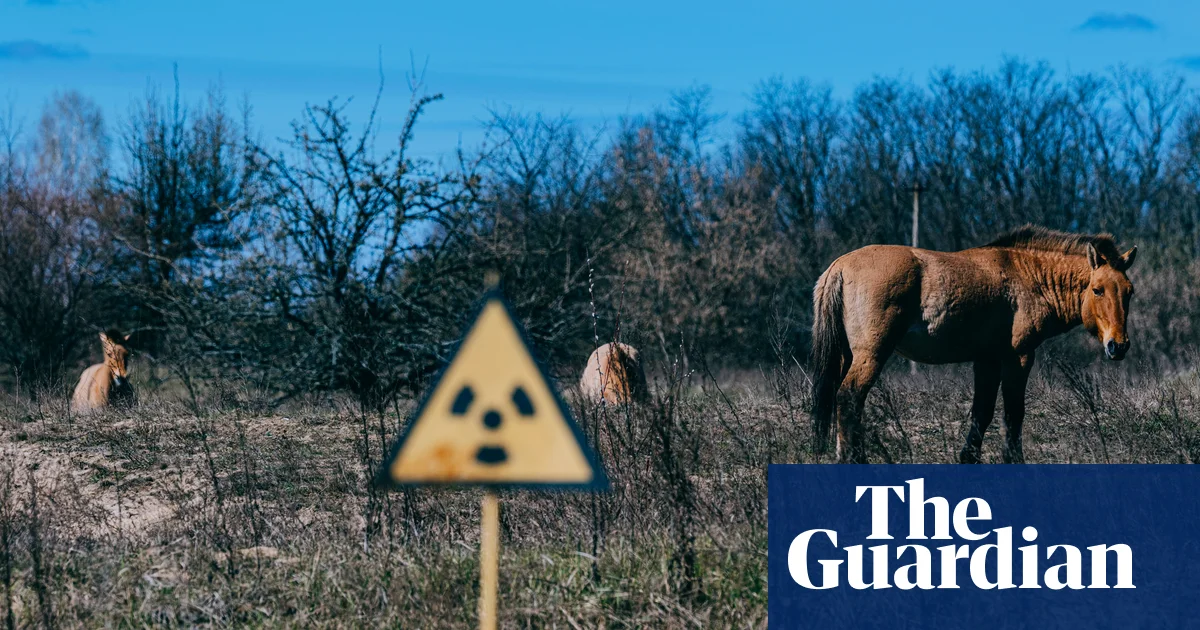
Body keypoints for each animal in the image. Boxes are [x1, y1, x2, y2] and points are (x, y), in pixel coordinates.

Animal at [810, 226, 1137, 464]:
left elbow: (983, 411)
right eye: (1097, 289)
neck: (1029, 277)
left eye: (1129, 292)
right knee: (849, 397)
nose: (1118, 346)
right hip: (872, 354)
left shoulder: (987, 359)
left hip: (847, 355)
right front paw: (1013, 460)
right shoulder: (1019, 357)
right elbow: (1012, 413)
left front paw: (969, 458)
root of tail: (839, 266)